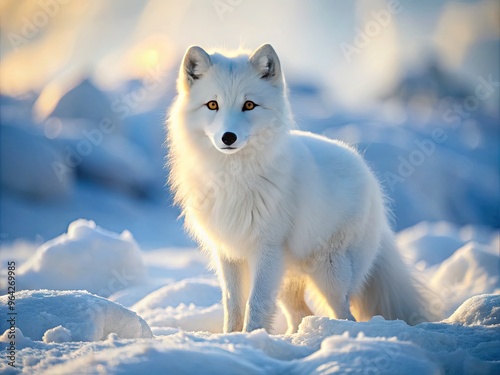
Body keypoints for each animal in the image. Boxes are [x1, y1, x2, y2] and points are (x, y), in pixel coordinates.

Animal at [166, 44, 436, 334]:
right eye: (212, 105)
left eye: (249, 105)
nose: (228, 137)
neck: (233, 177)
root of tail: (370, 176)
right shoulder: (229, 253)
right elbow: (233, 305)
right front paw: (232, 338)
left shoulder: (267, 247)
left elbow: (256, 304)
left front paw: (251, 336)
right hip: (286, 278)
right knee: (300, 314)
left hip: (329, 274)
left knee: (344, 314)